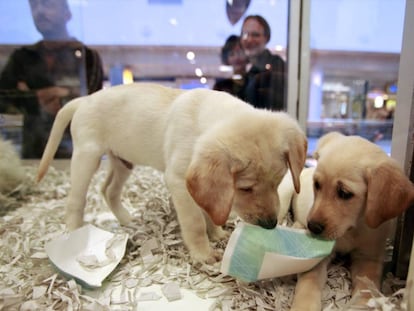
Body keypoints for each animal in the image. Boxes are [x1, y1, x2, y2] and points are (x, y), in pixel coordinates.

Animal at [36, 83, 308, 264]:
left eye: (278, 182)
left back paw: (127, 220)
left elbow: (209, 209)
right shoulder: (179, 181)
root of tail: (84, 99)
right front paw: (203, 253)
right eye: (245, 189)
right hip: (87, 156)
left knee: (108, 190)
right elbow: (195, 221)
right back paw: (74, 231)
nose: (270, 225)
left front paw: (217, 234)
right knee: (76, 199)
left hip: (123, 162)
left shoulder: (200, 186)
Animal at [290, 133, 414, 310]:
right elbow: (309, 282)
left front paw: (361, 305)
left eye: (344, 193)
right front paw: (304, 306)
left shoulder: (368, 257)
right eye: (317, 185)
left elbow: (366, 287)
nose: (312, 227)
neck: (352, 229)